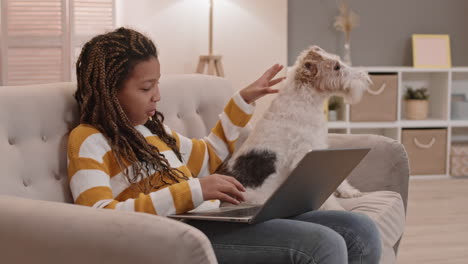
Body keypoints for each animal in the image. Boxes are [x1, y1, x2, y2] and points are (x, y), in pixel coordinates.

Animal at [220, 45, 372, 210]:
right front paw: (336, 208)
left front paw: (350, 192)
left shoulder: (319, 149)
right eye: (336, 67)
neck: (303, 99)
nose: (366, 78)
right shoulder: (304, 153)